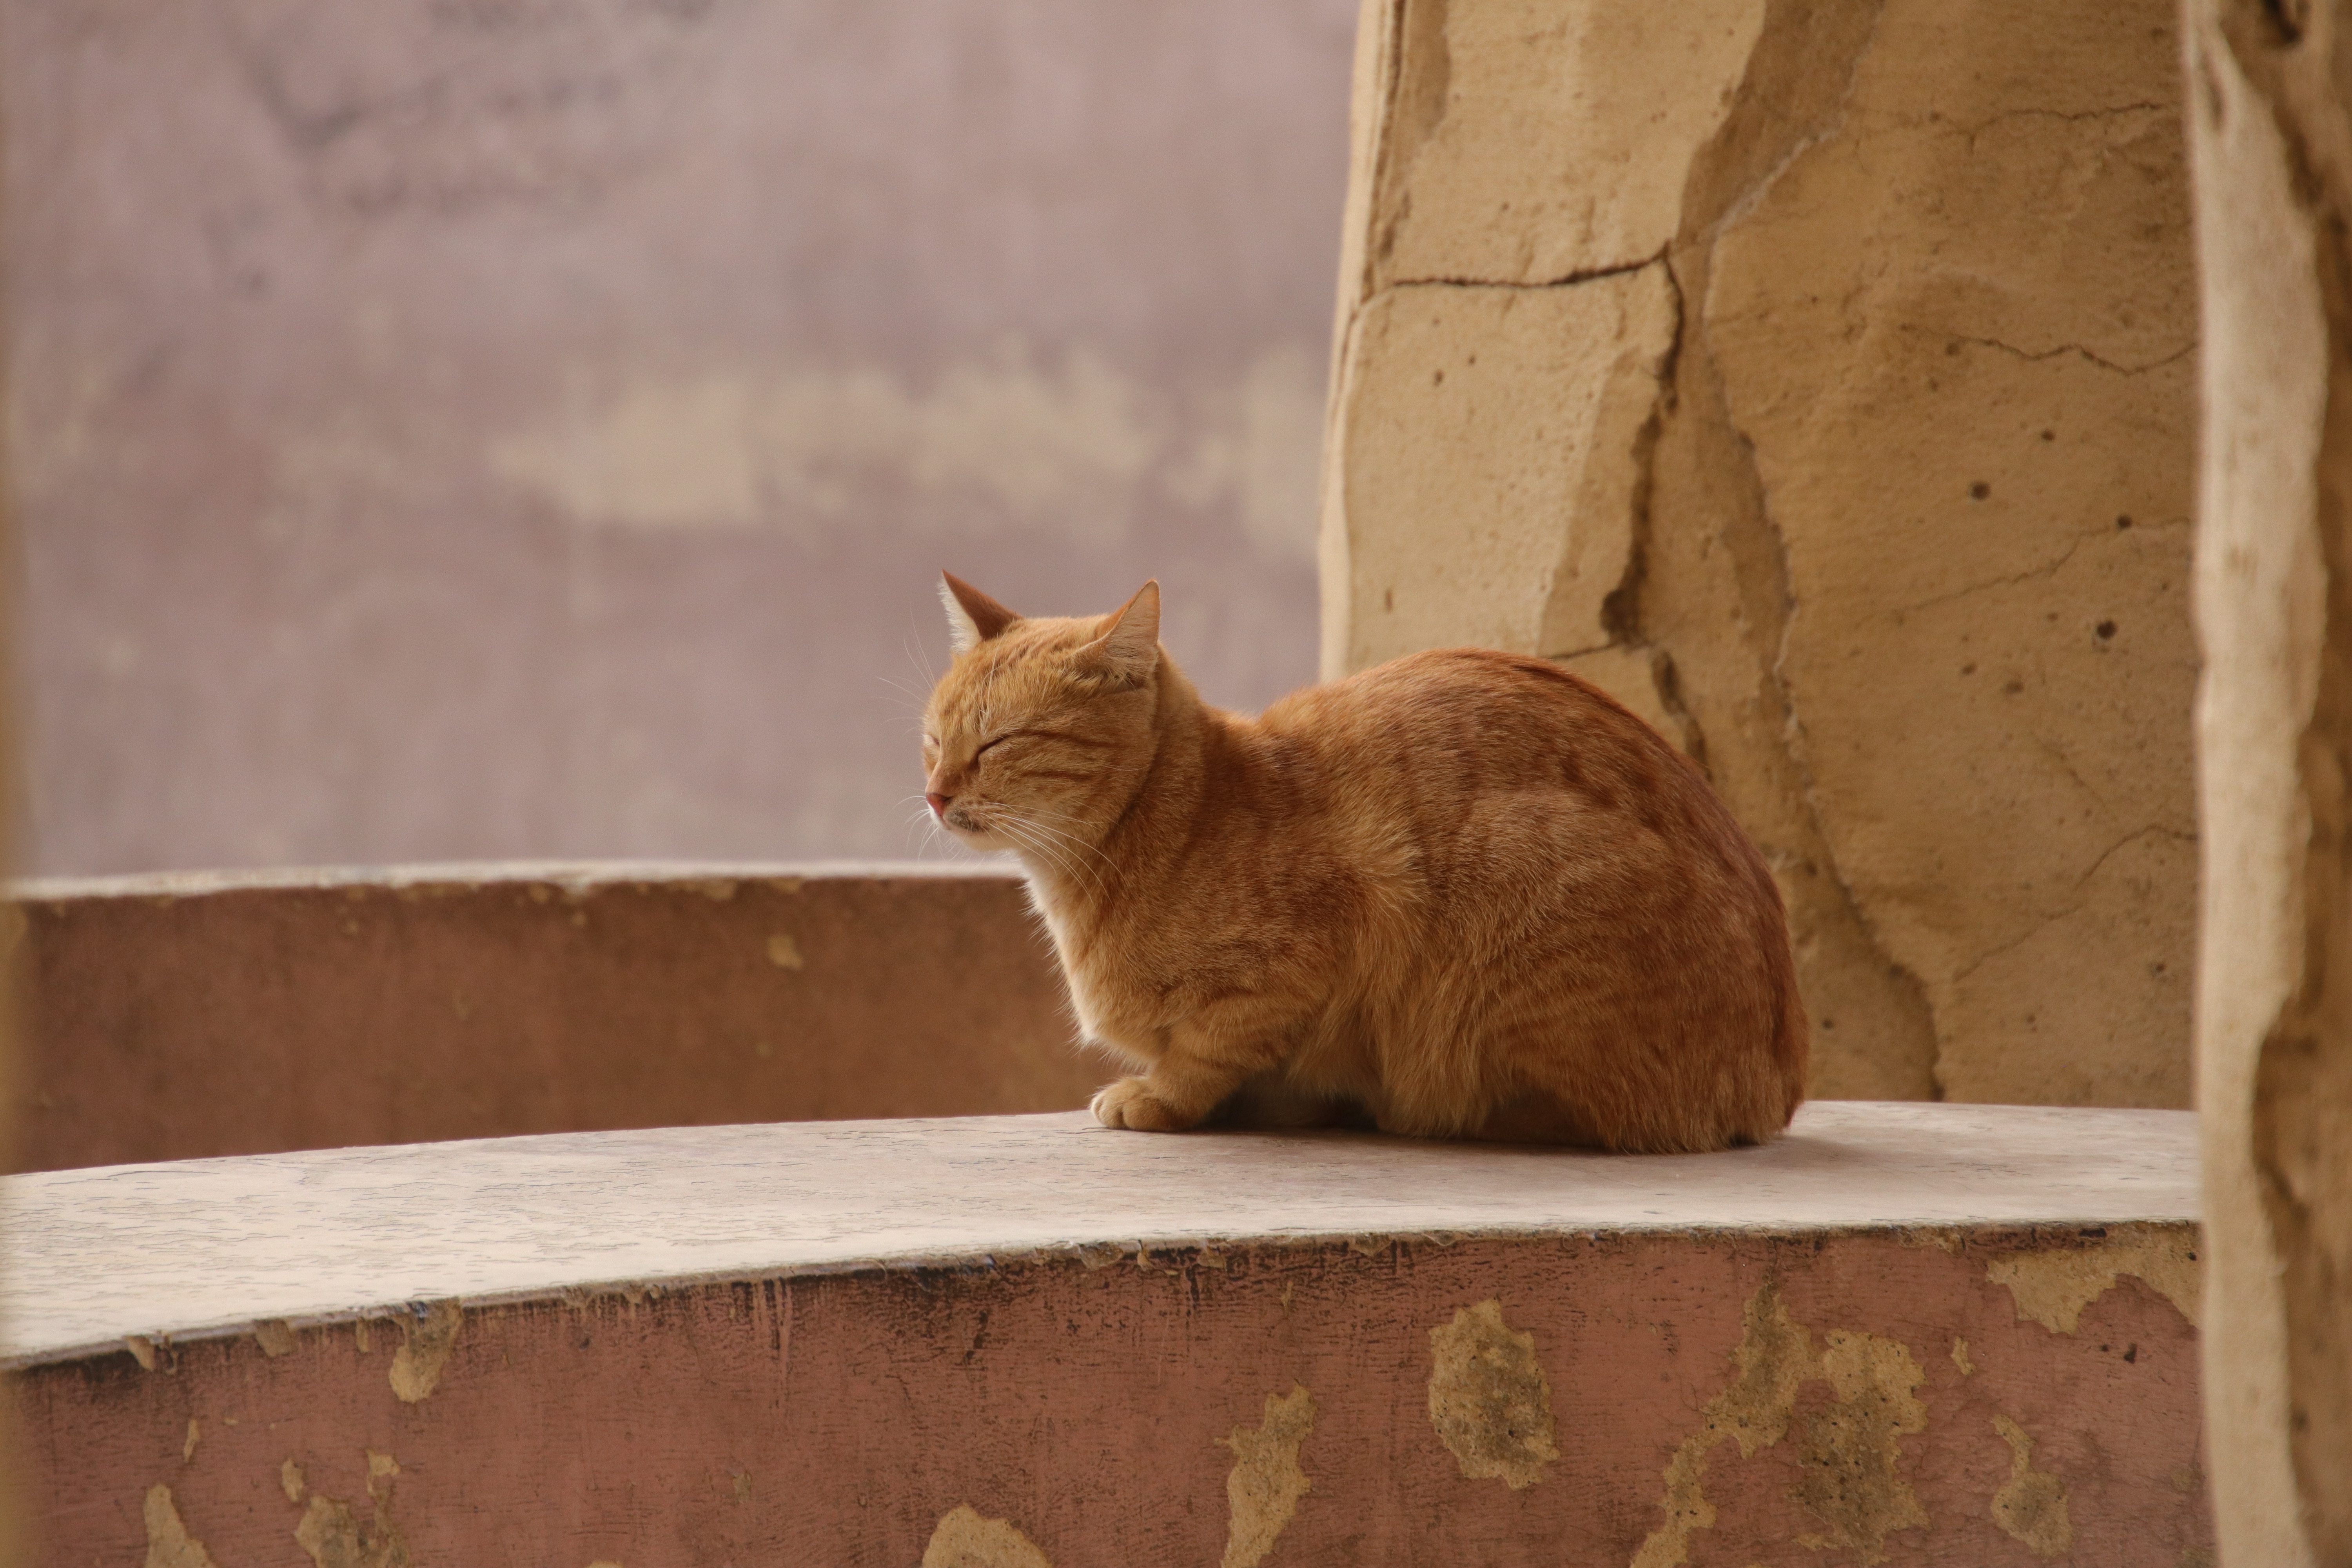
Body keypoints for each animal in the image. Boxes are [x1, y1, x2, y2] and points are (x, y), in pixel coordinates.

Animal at [917, 571, 1797, 1147]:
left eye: (999, 743)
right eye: (933, 738)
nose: (932, 794)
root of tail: (1781, 1083)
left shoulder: (1323, 938)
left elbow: (1206, 1049)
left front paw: (1161, 1097)